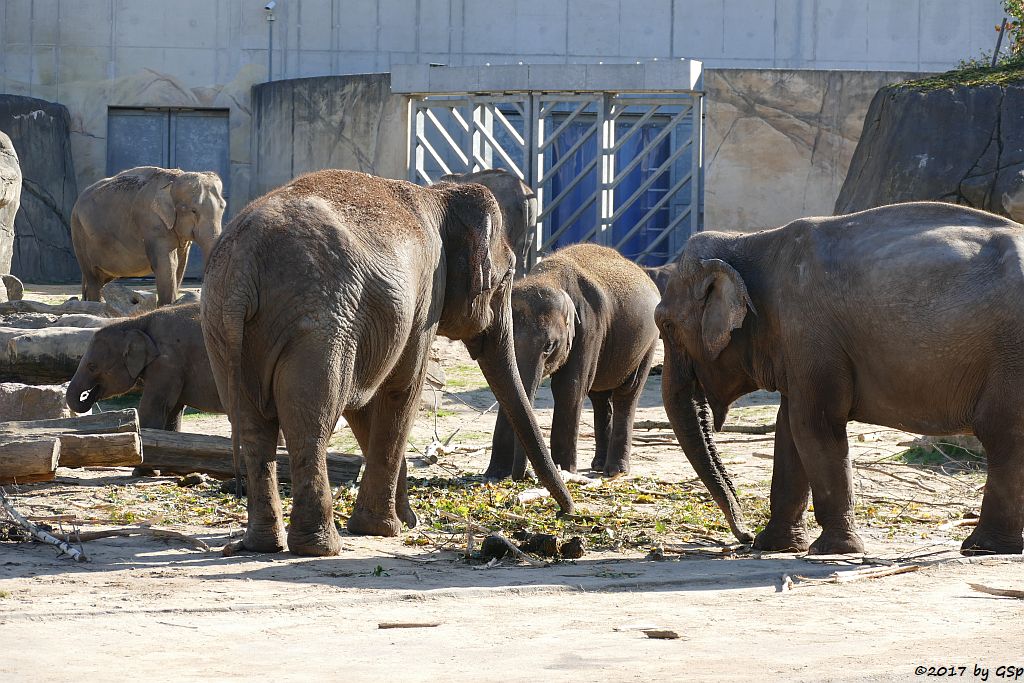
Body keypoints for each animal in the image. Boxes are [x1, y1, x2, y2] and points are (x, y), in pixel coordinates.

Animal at [71, 165, 227, 305]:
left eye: (223, 207)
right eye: (193, 211)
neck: (174, 180)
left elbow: (180, 264)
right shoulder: (152, 222)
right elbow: (167, 264)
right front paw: (166, 305)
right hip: (79, 233)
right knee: (93, 278)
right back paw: (94, 304)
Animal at [199, 169, 577, 557]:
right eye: (506, 279)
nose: (569, 511)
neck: (441, 195)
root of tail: (243, 263)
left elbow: (365, 404)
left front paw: (404, 520)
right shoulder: (425, 301)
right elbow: (402, 388)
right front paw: (385, 528)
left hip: (220, 328)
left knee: (251, 425)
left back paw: (261, 544)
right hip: (320, 324)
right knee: (311, 420)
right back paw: (320, 547)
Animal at [485, 242, 659, 479]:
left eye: (549, 347)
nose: (526, 474)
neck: (549, 276)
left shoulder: (590, 328)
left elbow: (569, 388)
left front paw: (564, 469)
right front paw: (494, 473)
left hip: (648, 343)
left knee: (627, 393)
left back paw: (614, 471)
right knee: (600, 397)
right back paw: (599, 465)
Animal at [655, 201, 1024, 557]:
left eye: (667, 325)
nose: (741, 536)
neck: (748, 241)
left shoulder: (809, 332)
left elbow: (813, 423)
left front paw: (831, 550)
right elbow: (787, 428)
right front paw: (774, 546)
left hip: (1010, 355)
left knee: (1004, 433)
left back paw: (983, 547)